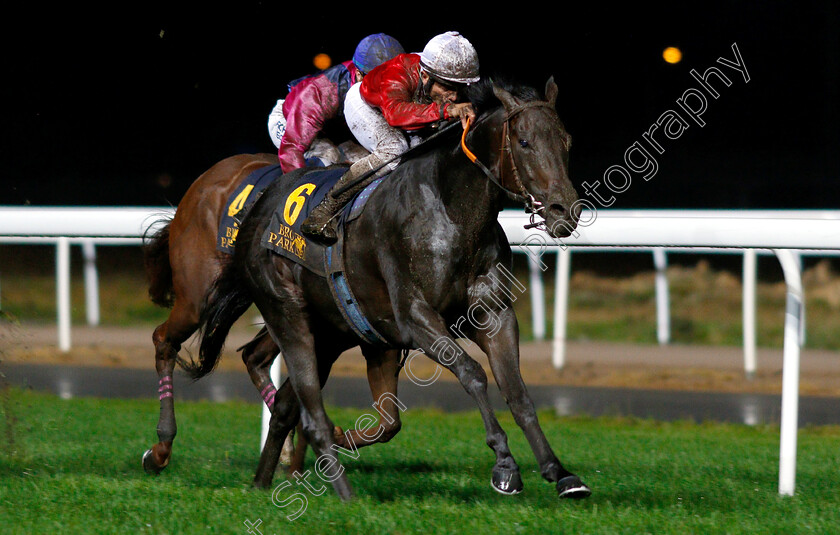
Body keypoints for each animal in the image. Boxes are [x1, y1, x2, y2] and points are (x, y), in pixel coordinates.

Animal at [141, 153, 404, 476]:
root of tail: (205, 179)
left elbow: (389, 420)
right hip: (197, 297)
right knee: (164, 340)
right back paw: (160, 448)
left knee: (253, 356)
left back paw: (287, 453)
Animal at [190, 76, 592, 502]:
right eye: (525, 142)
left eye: (566, 140)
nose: (565, 210)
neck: (451, 211)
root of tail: (259, 208)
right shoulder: (415, 317)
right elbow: (472, 373)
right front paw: (505, 466)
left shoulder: (494, 314)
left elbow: (517, 393)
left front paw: (560, 472)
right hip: (288, 313)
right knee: (310, 412)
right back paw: (344, 495)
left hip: (330, 334)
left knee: (286, 407)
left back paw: (263, 481)